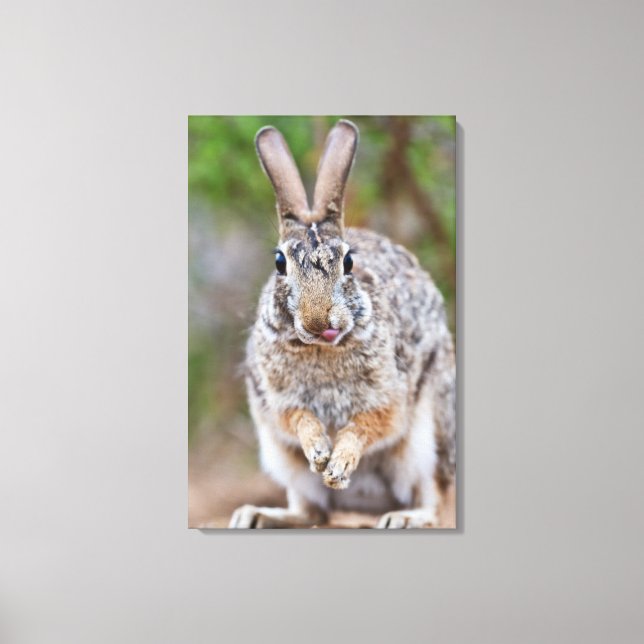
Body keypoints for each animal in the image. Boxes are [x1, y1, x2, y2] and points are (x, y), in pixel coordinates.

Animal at [228, 119, 456, 529]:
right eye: (279, 263)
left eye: (348, 262)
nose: (321, 321)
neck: (322, 348)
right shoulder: (276, 401)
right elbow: (299, 419)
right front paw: (320, 451)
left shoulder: (390, 398)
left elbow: (365, 426)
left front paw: (339, 464)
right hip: (283, 461)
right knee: (311, 511)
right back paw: (254, 515)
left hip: (431, 437)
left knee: (435, 505)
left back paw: (402, 519)